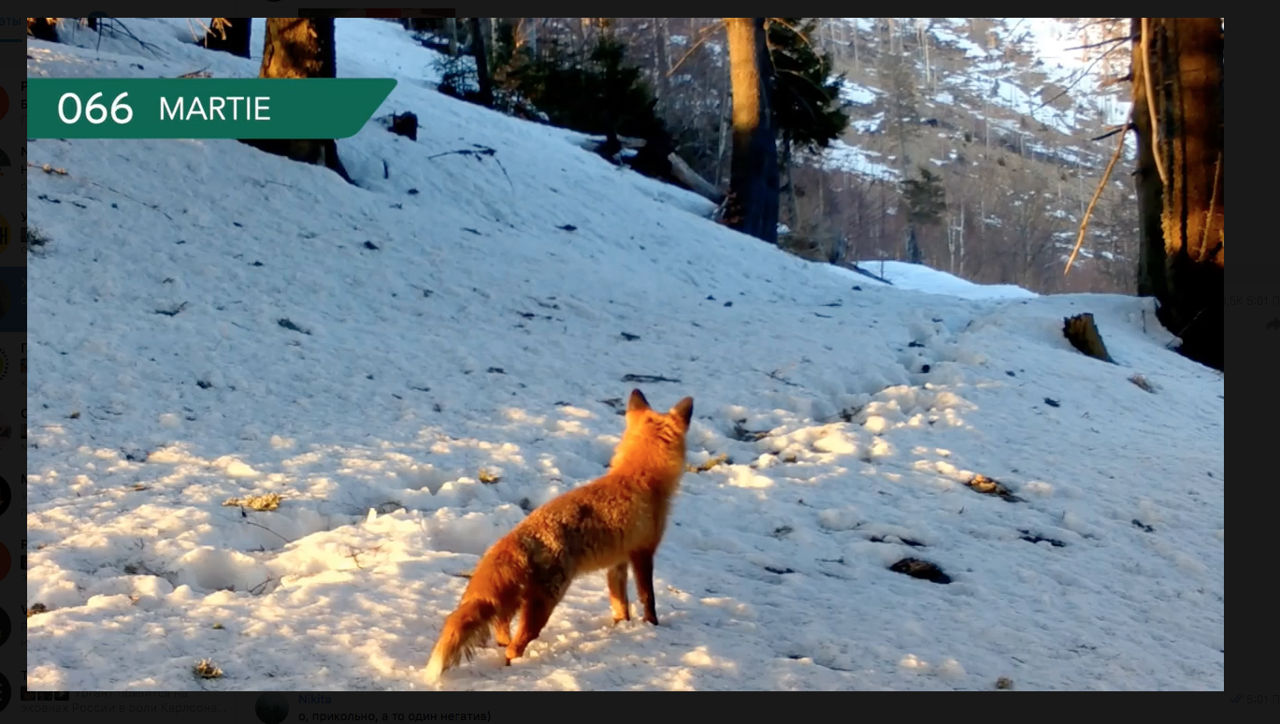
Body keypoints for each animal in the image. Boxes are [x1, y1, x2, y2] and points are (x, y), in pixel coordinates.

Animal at [424, 391, 696, 680]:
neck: (639, 476)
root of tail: (513, 538)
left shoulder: (618, 562)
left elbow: (619, 602)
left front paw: (622, 625)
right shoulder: (643, 552)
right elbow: (648, 598)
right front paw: (652, 625)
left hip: (516, 601)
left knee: (500, 626)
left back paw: (502, 645)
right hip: (545, 603)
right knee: (515, 646)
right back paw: (513, 663)